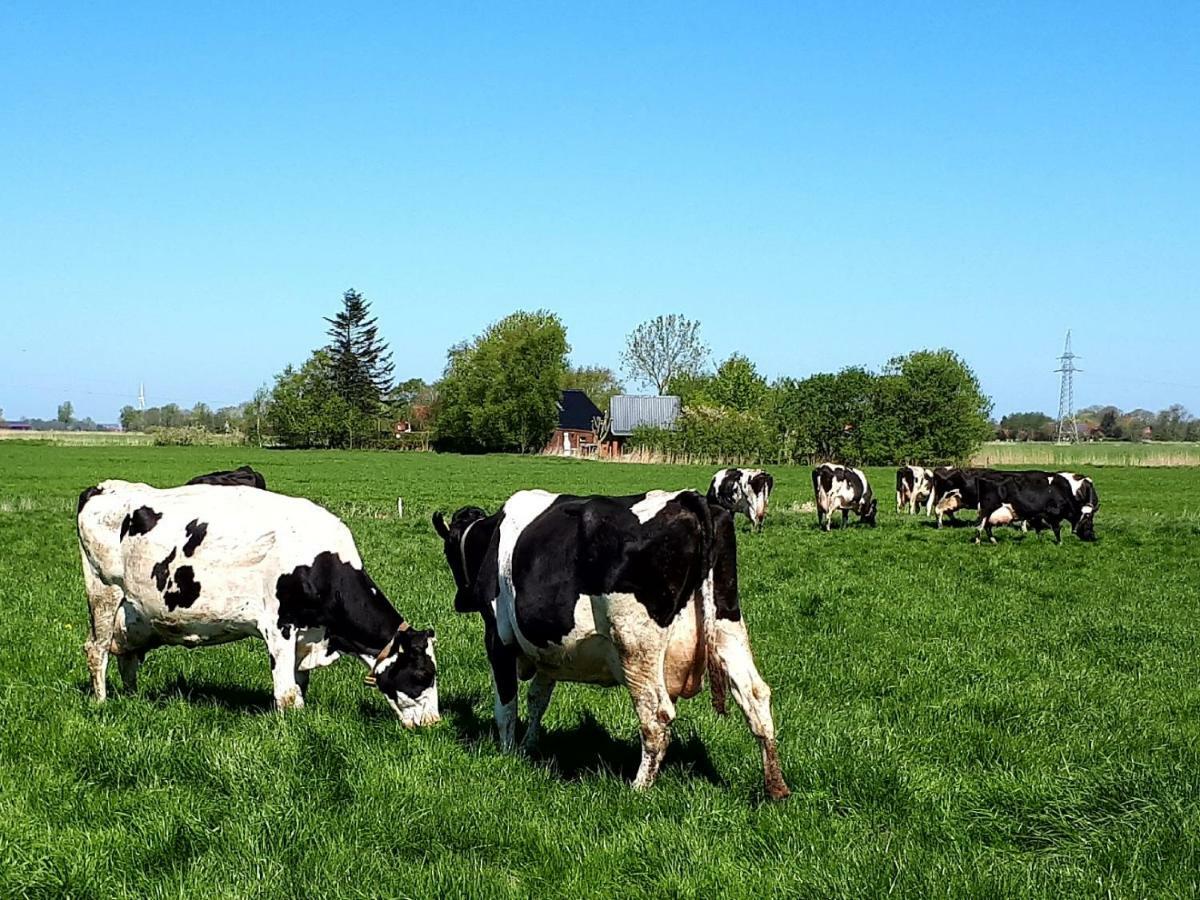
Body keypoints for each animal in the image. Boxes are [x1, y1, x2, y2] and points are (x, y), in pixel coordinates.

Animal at [77, 480, 439, 724]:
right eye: (423, 674)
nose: (434, 723)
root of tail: (104, 487)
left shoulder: (305, 637)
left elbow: (299, 687)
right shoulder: (280, 627)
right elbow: (287, 694)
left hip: (133, 614)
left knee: (126, 656)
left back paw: (133, 697)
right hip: (104, 591)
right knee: (96, 650)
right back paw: (101, 703)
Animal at [429, 489, 787, 801]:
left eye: (448, 551)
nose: (461, 601)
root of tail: (687, 498)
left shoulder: (498, 639)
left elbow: (506, 705)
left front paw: (508, 753)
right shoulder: (547, 651)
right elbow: (537, 700)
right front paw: (530, 745)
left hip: (636, 645)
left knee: (656, 714)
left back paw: (638, 788)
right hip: (728, 627)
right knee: (755, 696)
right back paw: (776, 788)